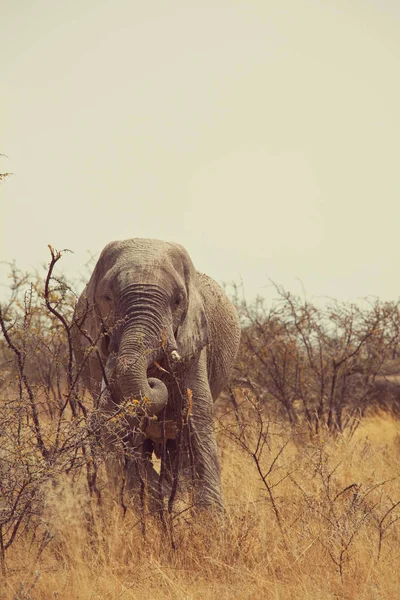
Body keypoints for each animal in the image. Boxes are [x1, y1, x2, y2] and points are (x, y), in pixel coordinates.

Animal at [71, 239, 241, 510]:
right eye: (107, 298)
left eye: (178, 301)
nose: (153, 381)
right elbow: (124, 436)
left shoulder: (194, 345)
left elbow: (196, 419)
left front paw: (210, 521)